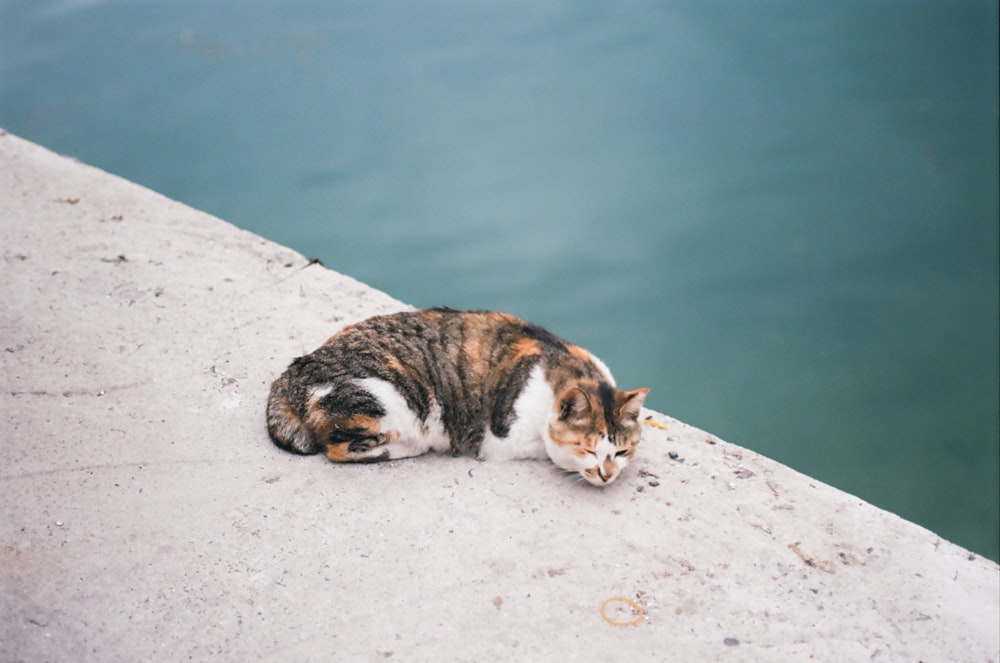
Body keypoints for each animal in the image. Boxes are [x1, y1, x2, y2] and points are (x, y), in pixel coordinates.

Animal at [268, 308, 648, 486]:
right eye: (587, 450)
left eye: (622, 452)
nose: (607, 474)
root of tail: (294, 372)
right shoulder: (501, 439)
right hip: (393, 398)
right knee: (341, 448)